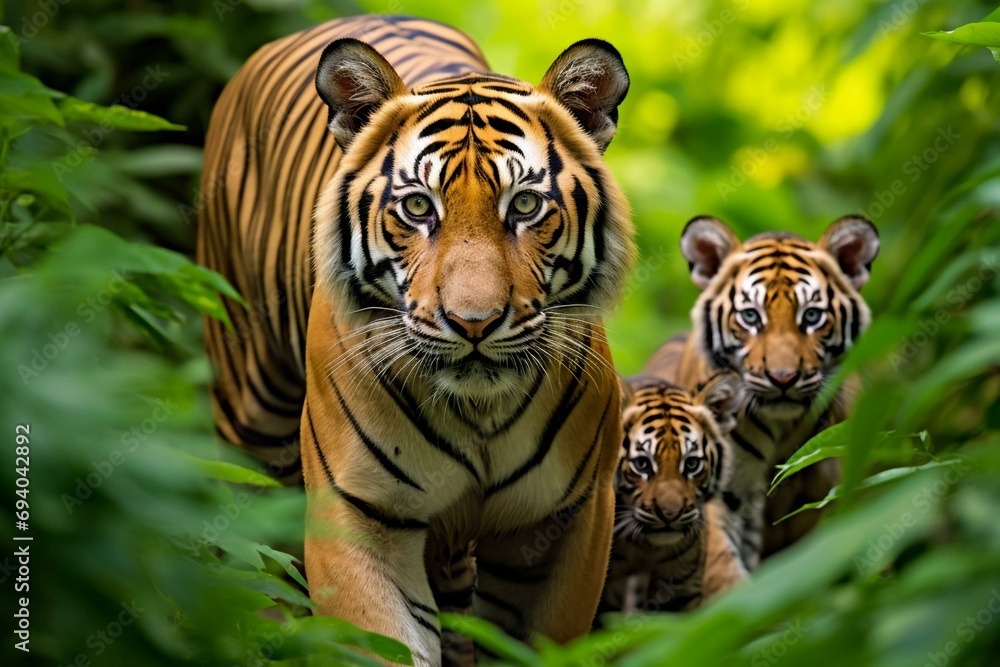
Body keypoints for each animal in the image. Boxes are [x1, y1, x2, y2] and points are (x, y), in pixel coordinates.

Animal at [196, 15, 635, 666]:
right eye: (418, 207)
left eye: (526, 204)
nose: (474, 322)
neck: (479, 412)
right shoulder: (358, 512)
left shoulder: (565, 519)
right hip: (247, 415)